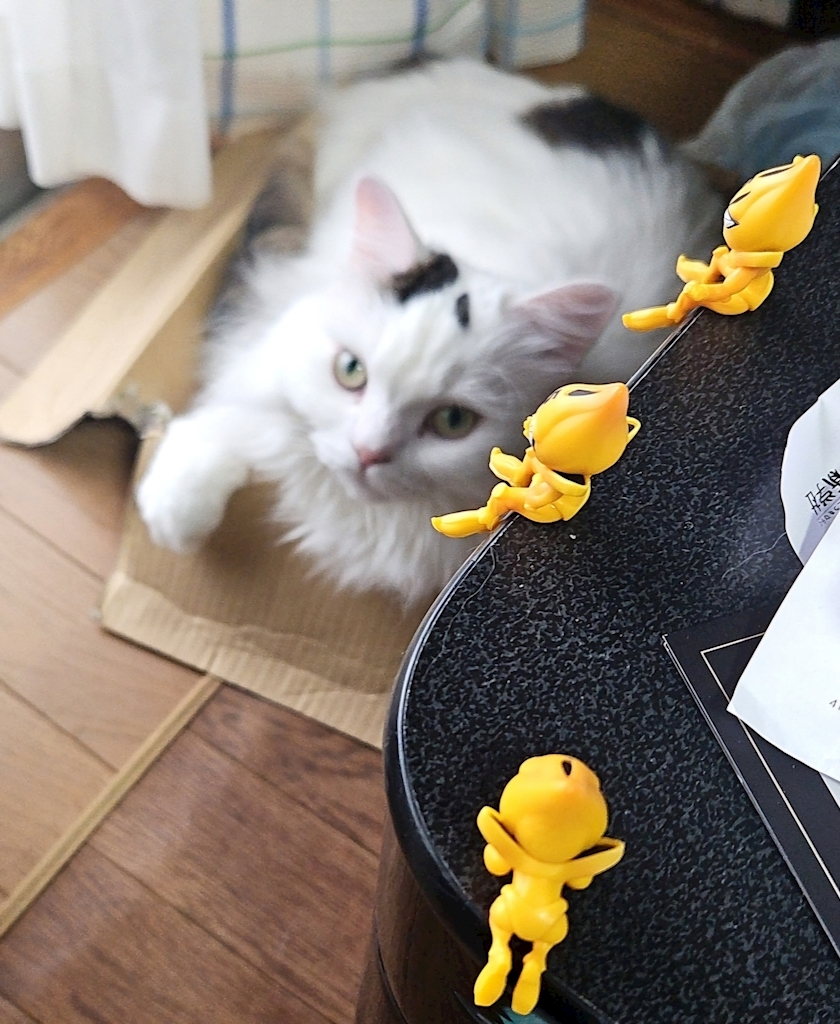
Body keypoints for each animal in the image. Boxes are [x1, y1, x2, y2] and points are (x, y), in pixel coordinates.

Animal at [136, 58, 722, 605]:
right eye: (351, 372)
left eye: (453, 421)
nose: (367, 453)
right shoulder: (265, 324)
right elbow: (232, 418)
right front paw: (175, 516)